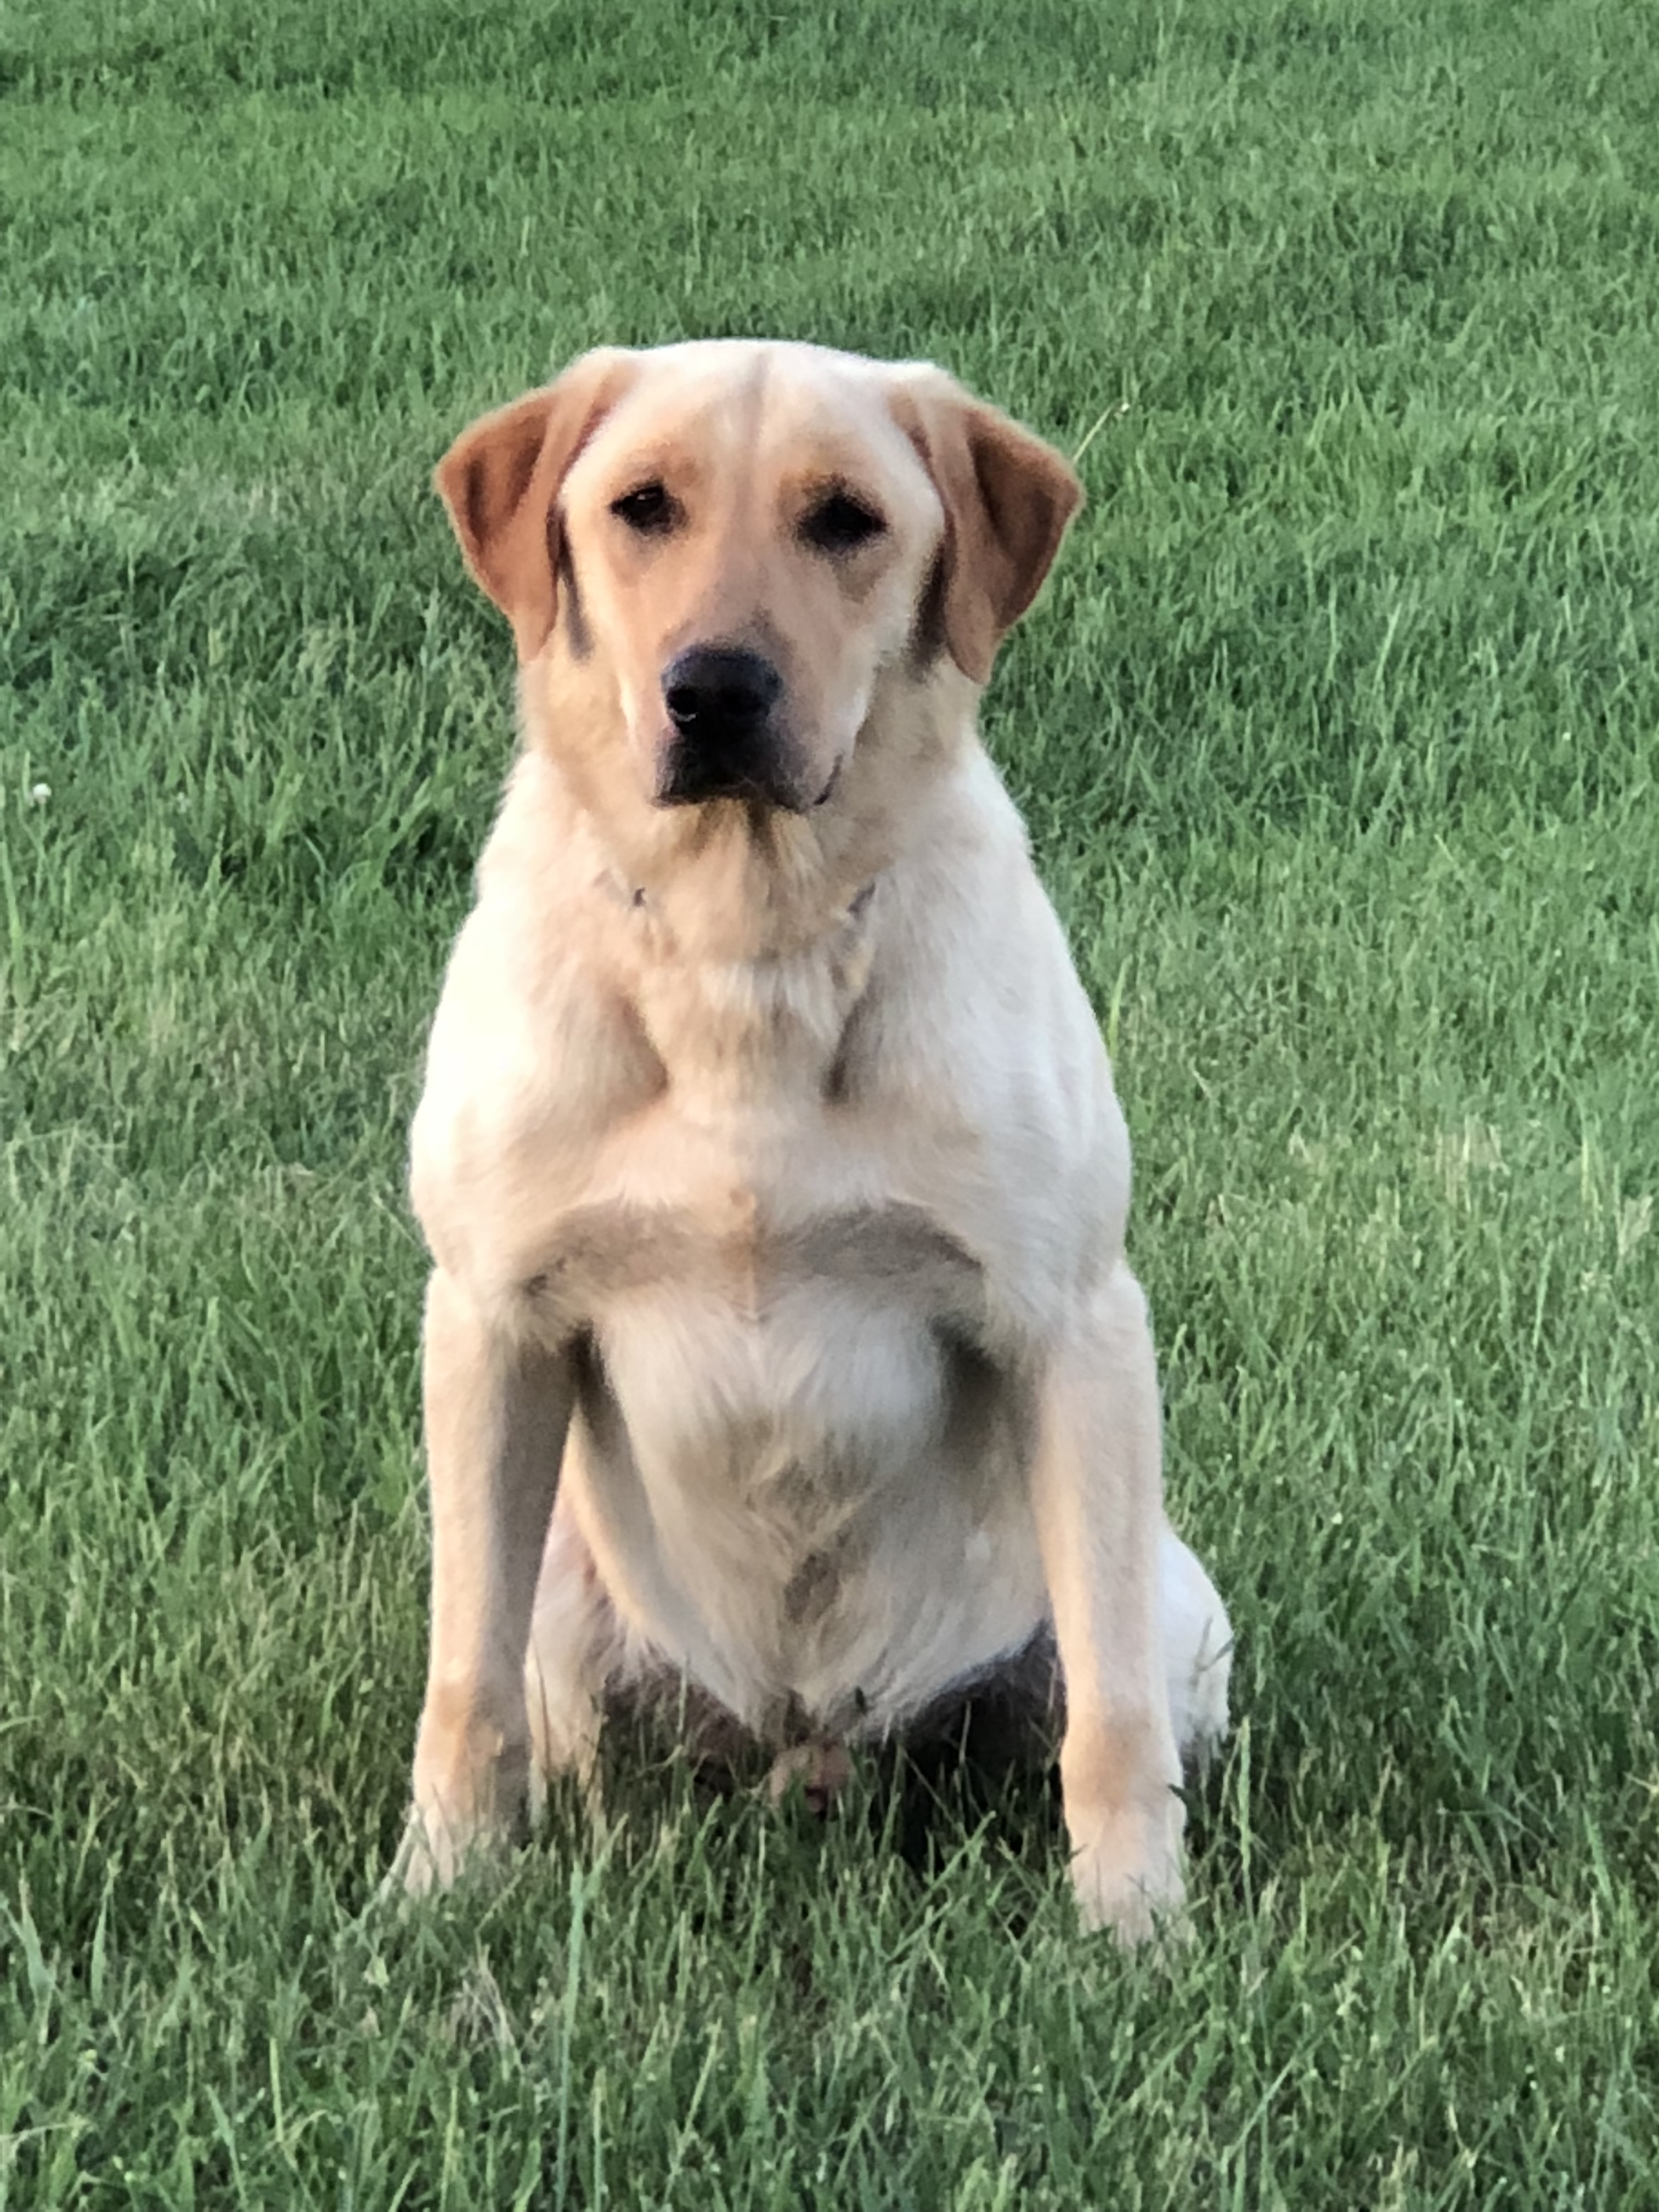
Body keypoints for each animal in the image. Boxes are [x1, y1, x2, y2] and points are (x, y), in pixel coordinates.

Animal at [400, 336, 1238, 1946]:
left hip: (1168, 1590)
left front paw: (1135, 1929)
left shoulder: (1077, 1322)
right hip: (568, 1593)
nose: (715, 691)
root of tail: (808, 1741)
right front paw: (439, 1891)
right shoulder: (489, 1322)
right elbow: (461, 1683)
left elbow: (1110, 1721)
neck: (748, 949)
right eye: (641, 507)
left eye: (847, 519)